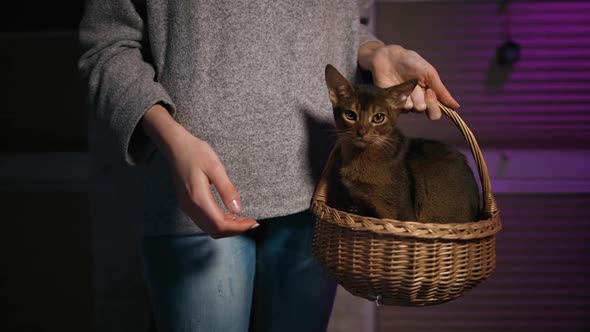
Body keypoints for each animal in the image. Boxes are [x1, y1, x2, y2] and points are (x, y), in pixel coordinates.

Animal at [326, 64, 484, 223]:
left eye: (378, 117)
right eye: (350, 115)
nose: (361, 132)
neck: (359, 156)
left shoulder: (401, 214)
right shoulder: (362, 204)